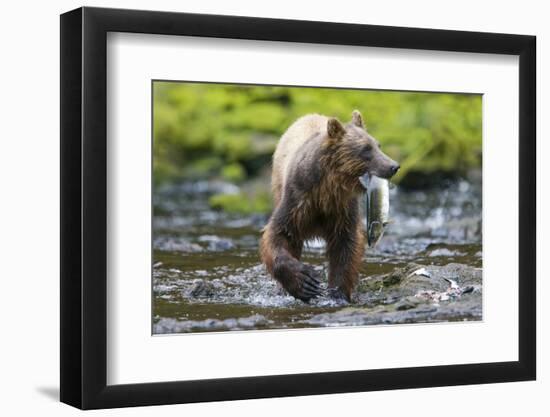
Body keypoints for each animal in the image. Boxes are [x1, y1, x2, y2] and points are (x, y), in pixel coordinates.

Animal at [260, 109, 398, 300]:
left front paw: (337, 292)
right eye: (366, 149)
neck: (327, 189)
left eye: (378, 145)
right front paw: (305, 282)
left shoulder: (342, 208)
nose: (393, 166)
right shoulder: (298, 200)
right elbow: (278, 234)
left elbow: (345, 246)